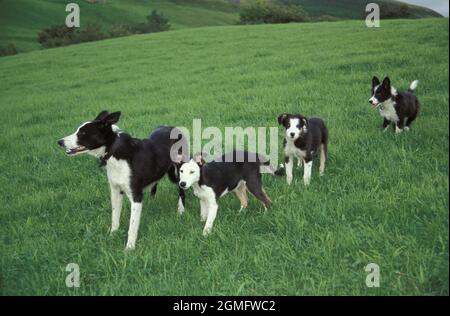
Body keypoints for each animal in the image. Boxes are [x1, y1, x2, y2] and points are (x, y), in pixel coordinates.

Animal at [57, 111, 187, 249]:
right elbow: (115, 216)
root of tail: (174, 128)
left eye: (83, 133)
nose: (60, 142)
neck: (113, 150)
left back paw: (181, 210)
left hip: (179, 171)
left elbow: (133, 225)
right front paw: (113, 235)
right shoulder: (115, 191)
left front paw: (130, 247)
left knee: (181, 191)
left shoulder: (136, 196)